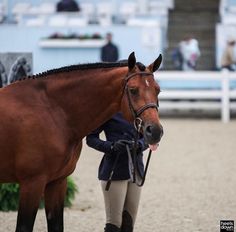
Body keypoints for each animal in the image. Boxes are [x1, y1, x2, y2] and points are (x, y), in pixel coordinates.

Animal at [0, 51, 162, 231]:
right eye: (133, 90)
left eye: (158, 90)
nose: (155, 131)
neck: (52, 111)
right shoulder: (32, 183)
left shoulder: (57, 182)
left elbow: (56, 225)